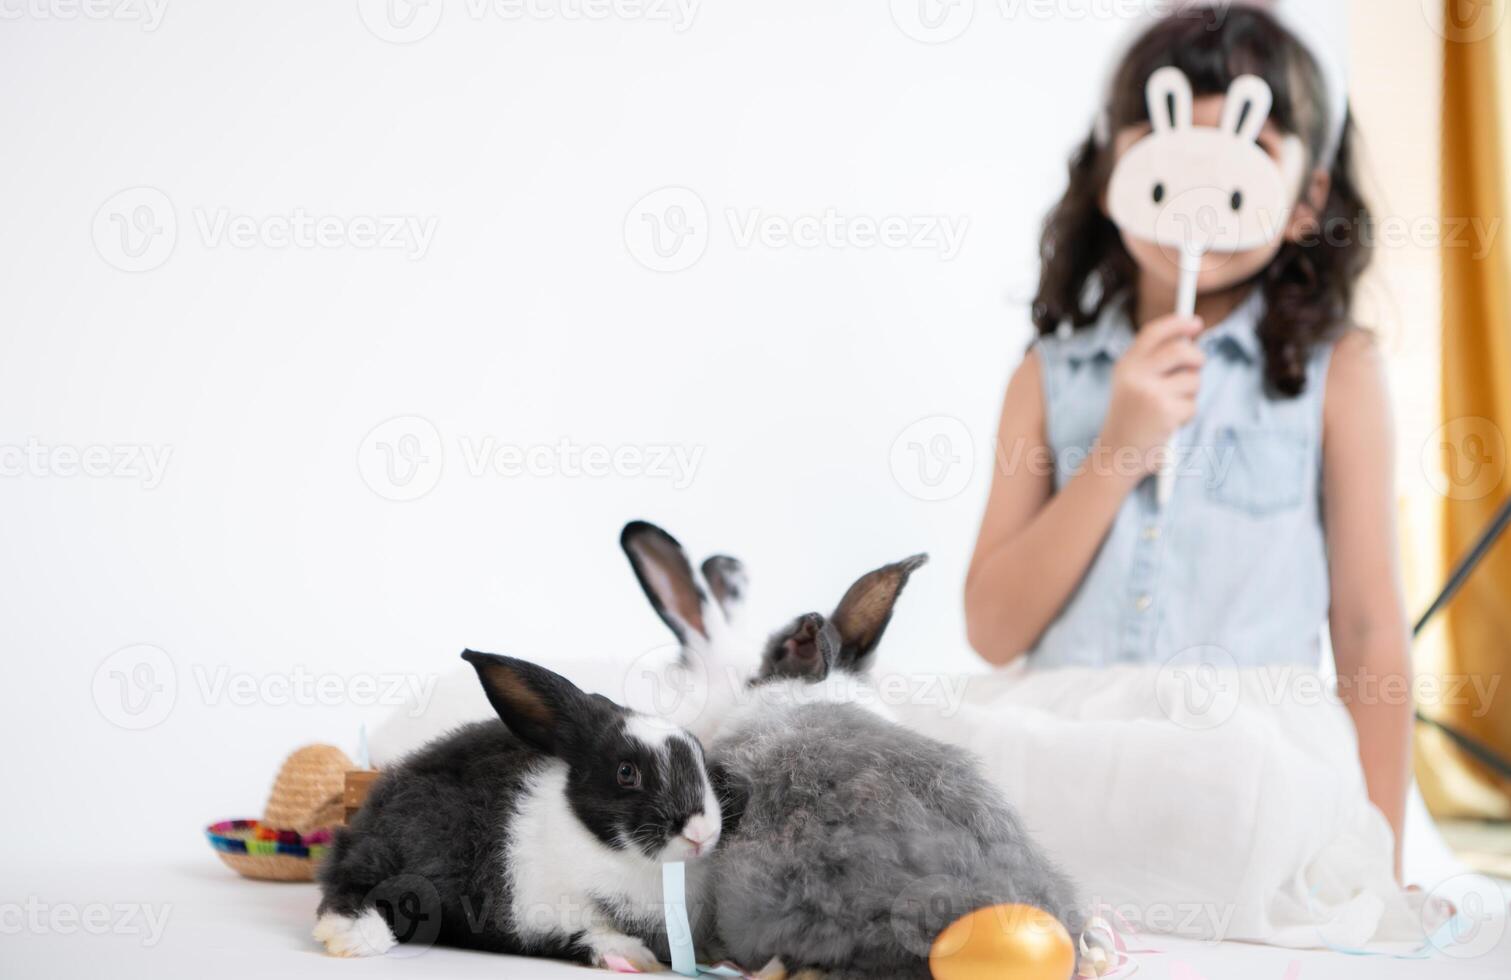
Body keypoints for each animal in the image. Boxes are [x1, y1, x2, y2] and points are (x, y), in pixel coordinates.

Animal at [314, 646, 719, 966]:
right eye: (626, 772)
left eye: (701, 757)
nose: (701, 834)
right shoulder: (535, 910)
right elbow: (581, 934)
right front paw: (632, 957)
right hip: (396, 850)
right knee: (349, 887)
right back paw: (352, 938)